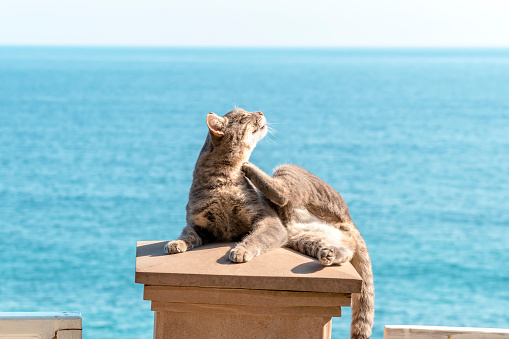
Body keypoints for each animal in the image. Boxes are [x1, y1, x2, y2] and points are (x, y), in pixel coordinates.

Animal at [166, 109, 374, 339]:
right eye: (243, 116)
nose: (259, 111)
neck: (224, 178)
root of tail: (349, 219)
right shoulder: (200, 225)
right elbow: (187, 235)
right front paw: (175, 244)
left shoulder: (267, 221)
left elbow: (256, 239)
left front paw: (241, 251)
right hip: (307, 238)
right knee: (345, 251)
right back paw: (328, 254)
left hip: (286, 171)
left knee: (283, 194)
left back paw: (251, 168)